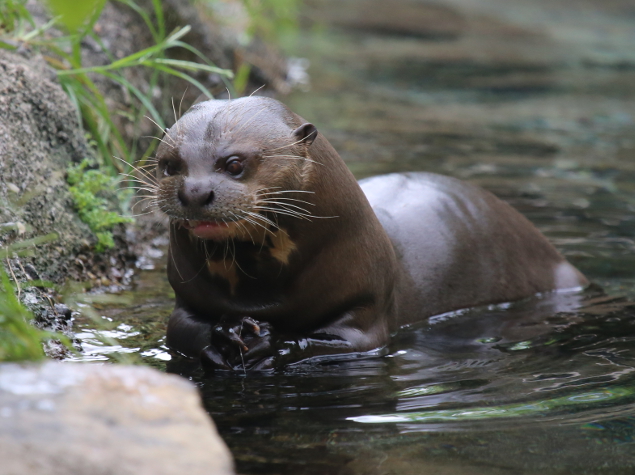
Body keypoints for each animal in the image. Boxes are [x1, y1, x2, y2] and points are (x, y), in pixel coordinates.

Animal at [152, 96, 588, 372]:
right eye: (169, 164)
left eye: (234, 163)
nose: (194, 192)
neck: (260, 295)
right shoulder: (185, 299)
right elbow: (182, 331)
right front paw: (223, 336)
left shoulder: (365, 308)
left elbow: (338, 340)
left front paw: (272, 344)